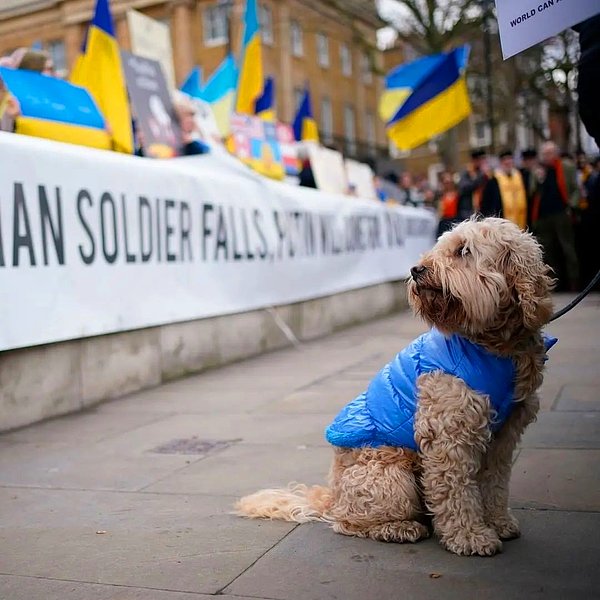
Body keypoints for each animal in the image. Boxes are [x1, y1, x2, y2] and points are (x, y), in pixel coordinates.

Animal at [236, 218, 556, 556]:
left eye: (463, 251)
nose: (417, 269)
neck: (494, 346)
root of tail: (332, 495)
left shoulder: (503, 436)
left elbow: (494, 484)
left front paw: (498, 522)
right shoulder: (448, 437)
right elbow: (457, 493)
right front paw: (469, 536)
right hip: (390, 477)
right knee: (348, 522)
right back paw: (400, 528)